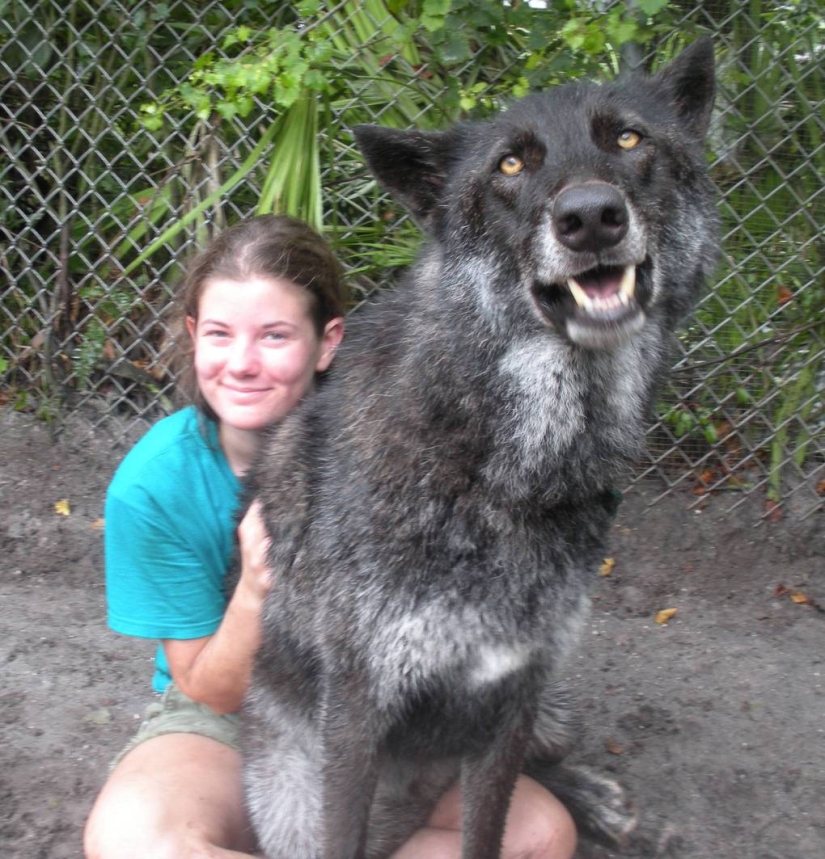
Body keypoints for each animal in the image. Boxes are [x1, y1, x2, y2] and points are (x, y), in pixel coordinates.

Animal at [242, 37, 718, 859]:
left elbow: (489, 826)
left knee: (544, 768)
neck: (501, 466)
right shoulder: (357, 709)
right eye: (510, 165)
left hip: (553, 711)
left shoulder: (514, 696)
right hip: (289, 797)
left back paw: (596, 803)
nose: (590, 217)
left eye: (628, 140)